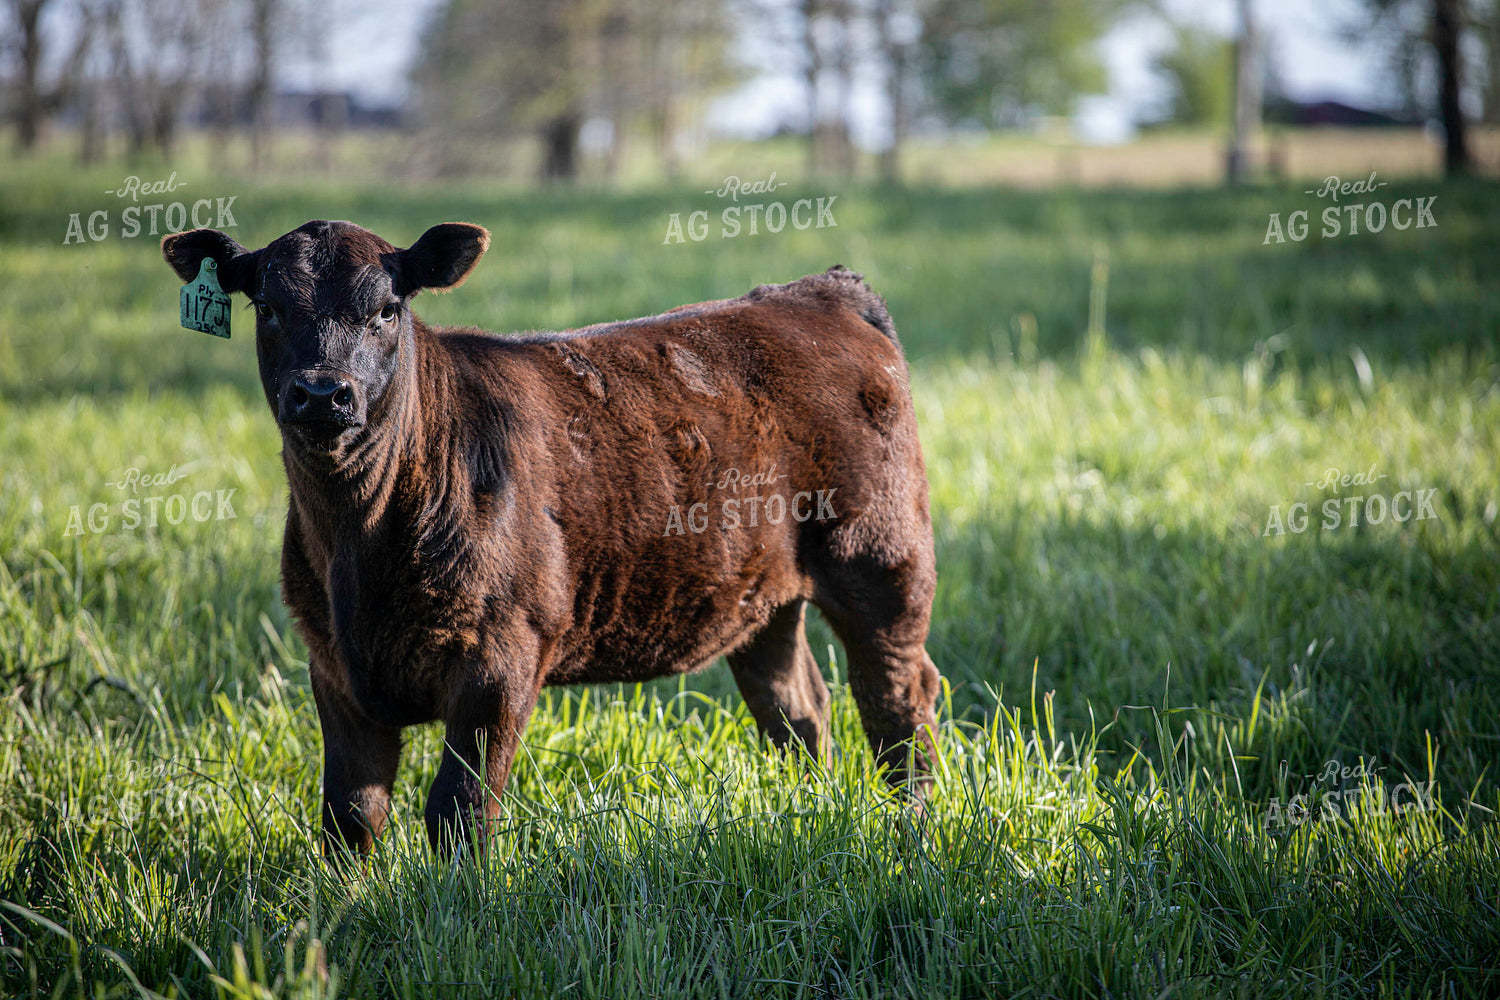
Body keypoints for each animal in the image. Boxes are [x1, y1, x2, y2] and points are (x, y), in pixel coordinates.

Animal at [161, 220, 942, 858]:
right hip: (761, 593)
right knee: (797, 705)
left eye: (387, 309)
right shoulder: (332, 663)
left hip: (882, 562)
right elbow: (351, 815)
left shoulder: (502, 655)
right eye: (268, 306)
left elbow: (459, 809)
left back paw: (911, 829)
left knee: (899, 698)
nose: (323, 393)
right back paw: (807, 808)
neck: (360, 545)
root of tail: (818, 292)